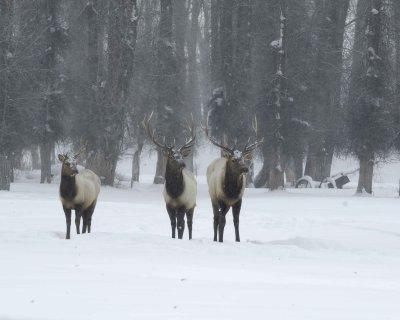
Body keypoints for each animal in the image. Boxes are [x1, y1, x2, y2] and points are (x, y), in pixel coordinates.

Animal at [144, 112, 197, 240]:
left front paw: (180, 239)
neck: (174, 193)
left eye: (181, 156)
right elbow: (173, 224)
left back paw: (190, 238)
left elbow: (181, 225)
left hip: (192, 204)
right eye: (172, 157)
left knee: (189, 223)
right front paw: (173, 238)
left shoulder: (183, 204)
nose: (183, 164)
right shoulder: (168, 205)